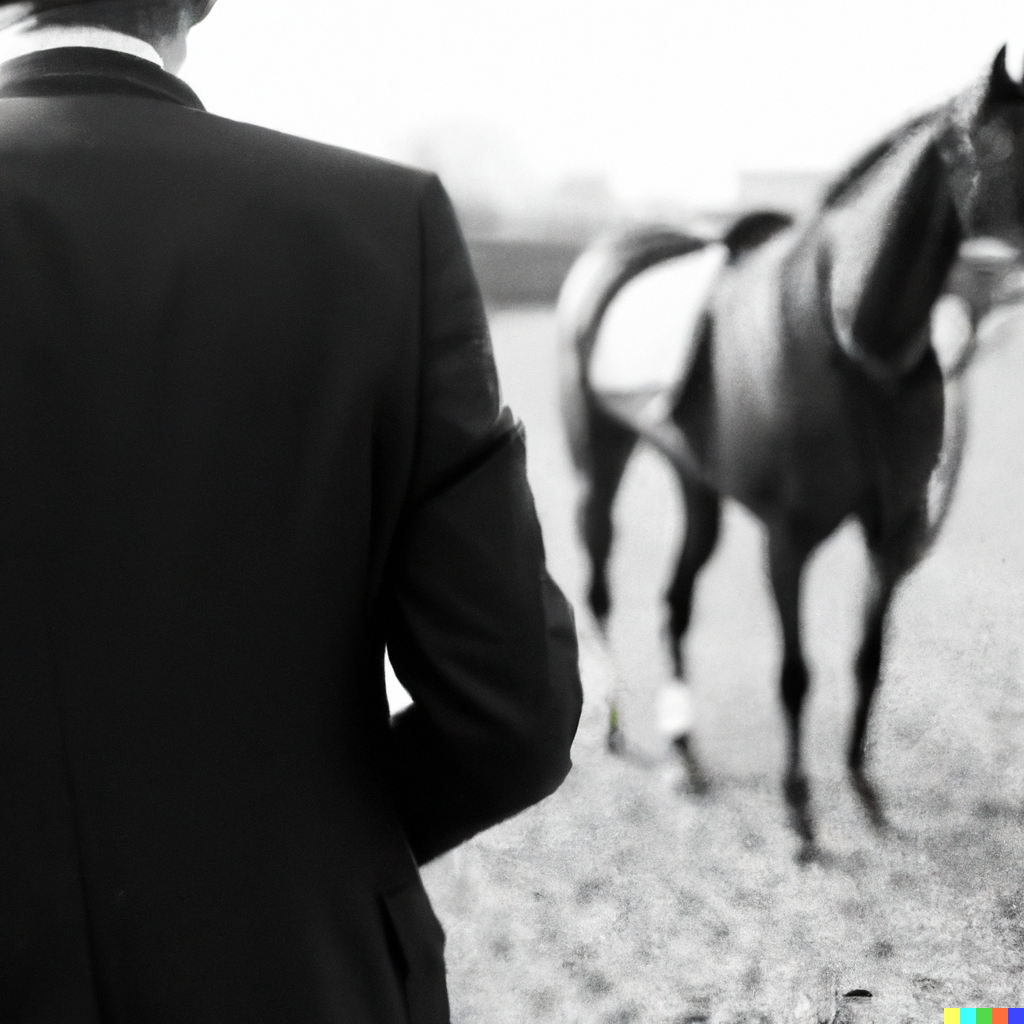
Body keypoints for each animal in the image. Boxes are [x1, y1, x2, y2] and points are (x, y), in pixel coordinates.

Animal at [558, 49, 1024, 857]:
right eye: (1016, 147)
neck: (853, 337)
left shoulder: (892, 529)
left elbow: (867, 658)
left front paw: (865, 796)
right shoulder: (788, 536)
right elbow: (795, 673)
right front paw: (801, 814)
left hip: (695, 483)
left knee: (675, 602)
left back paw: (684, 757)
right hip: (599, 463)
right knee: (600, 585)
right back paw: (616, 727)